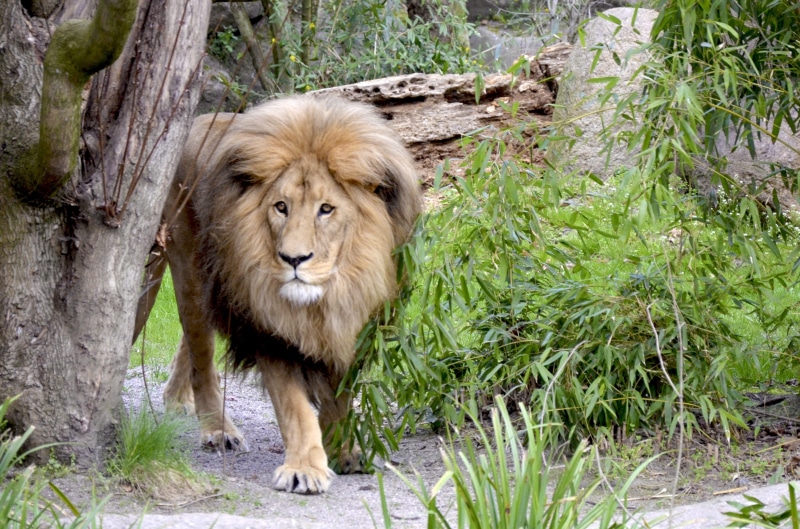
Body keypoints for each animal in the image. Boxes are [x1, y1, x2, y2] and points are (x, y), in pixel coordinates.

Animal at [133, 95, 421, 494]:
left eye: (326, 209)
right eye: (280, 207)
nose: (293, 259)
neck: (329, 296)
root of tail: (194, 125)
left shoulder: (355, 326)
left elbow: (340, 400)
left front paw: (343, 452)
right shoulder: (270, 331)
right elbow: (295, 409)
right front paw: (304, 468)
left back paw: (176, 399)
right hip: (189, 269)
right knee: (201, 353)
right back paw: (217, 428)